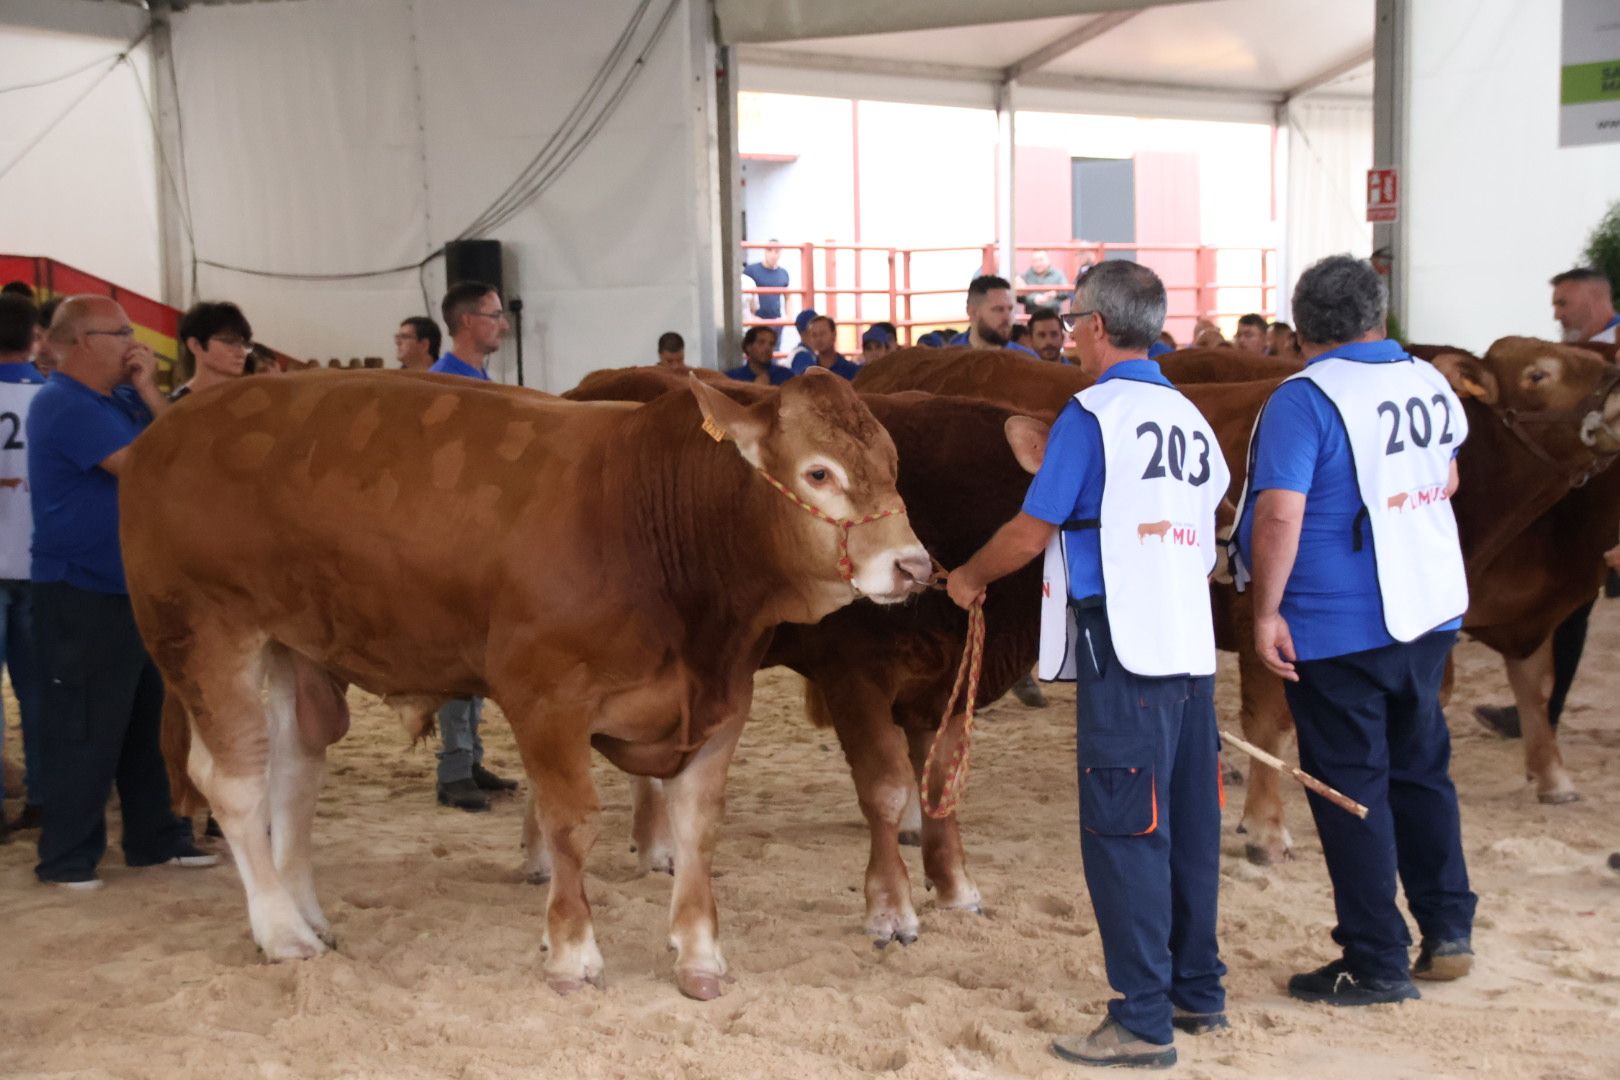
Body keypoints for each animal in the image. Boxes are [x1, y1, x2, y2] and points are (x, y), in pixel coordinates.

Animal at [119, 365, 933, 997]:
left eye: (894, 464)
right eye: (818, 472)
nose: (913, 566)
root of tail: (160, 435)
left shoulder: (721, 703)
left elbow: (698, 826)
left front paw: (700, 956)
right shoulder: (544, 696)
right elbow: (571, 822)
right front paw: (573, 953)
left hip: (293, 645)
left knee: (295, 768)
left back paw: (307, 911)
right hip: (203, 630)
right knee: (233, 780)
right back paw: (282, 930)